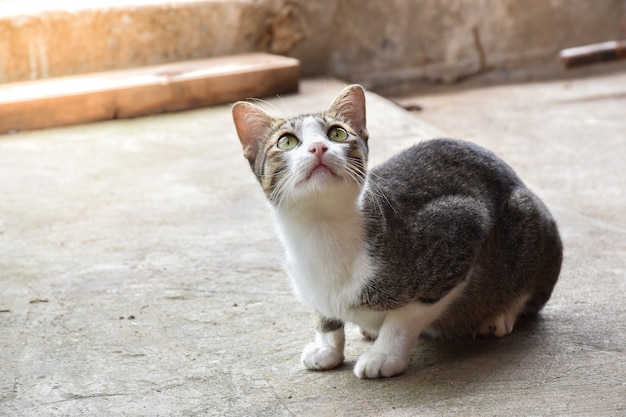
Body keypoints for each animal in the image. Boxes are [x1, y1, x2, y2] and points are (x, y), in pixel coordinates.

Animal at [229, 83, 560, 376]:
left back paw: (500, 315)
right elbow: (324, 311)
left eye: (337, 133)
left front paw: (385, 355)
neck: (320, 229)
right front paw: (326, 346)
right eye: (286, 141)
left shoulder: (461, 224)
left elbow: (408, 314)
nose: (318, 146)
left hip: (526, 215)